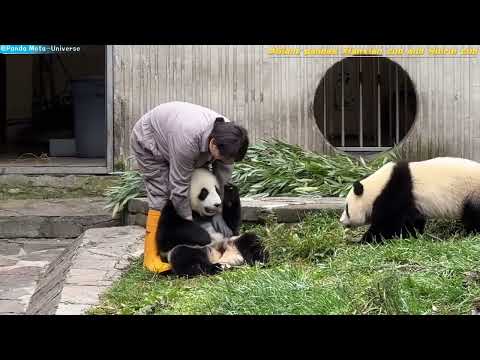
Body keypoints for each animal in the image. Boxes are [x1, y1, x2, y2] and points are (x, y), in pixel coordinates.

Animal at [340, 157, 480, 243]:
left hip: (472, 193)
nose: (341, 221)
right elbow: (413, 220)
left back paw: (468, 233)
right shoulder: (410, 201)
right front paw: (412, 235)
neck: (377, 187)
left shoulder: (395, 192)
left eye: (347, 208)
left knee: (473, 215)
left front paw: (361, 241)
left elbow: (387, 223)